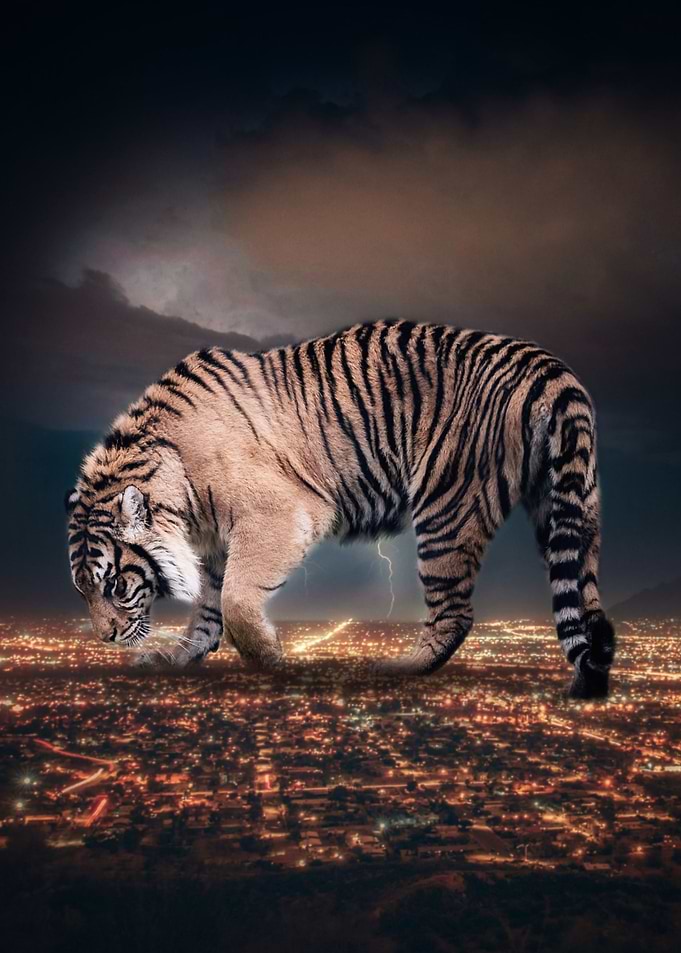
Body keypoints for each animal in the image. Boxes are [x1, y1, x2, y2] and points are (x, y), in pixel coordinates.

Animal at [66, 320, 616, 699]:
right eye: (83, 591)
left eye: (114, 585)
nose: (107, 638)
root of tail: (548, 368)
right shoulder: (216, 544)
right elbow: (207, 606)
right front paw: (177, 656)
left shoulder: (278, 513)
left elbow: (236, 599)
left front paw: (269, 659)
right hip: (568, 506)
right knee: (583, 598)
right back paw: (591, 675)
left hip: (445, 507)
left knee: (455, 612)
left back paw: (400, 669)